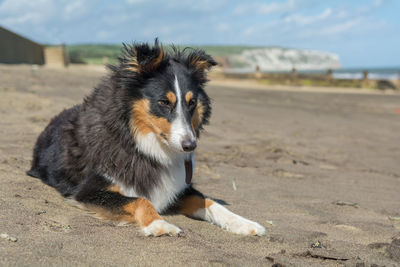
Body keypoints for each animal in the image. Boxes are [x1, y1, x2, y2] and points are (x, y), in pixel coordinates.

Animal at [27, 39, 266, 237]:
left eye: (191, 102)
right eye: (164, 102)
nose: (190, 145)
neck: (140, 144)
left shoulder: (179, 189)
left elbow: (209, 201)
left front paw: (245, 223)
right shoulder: (88, 190)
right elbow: (141, 200)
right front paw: (160, 224)